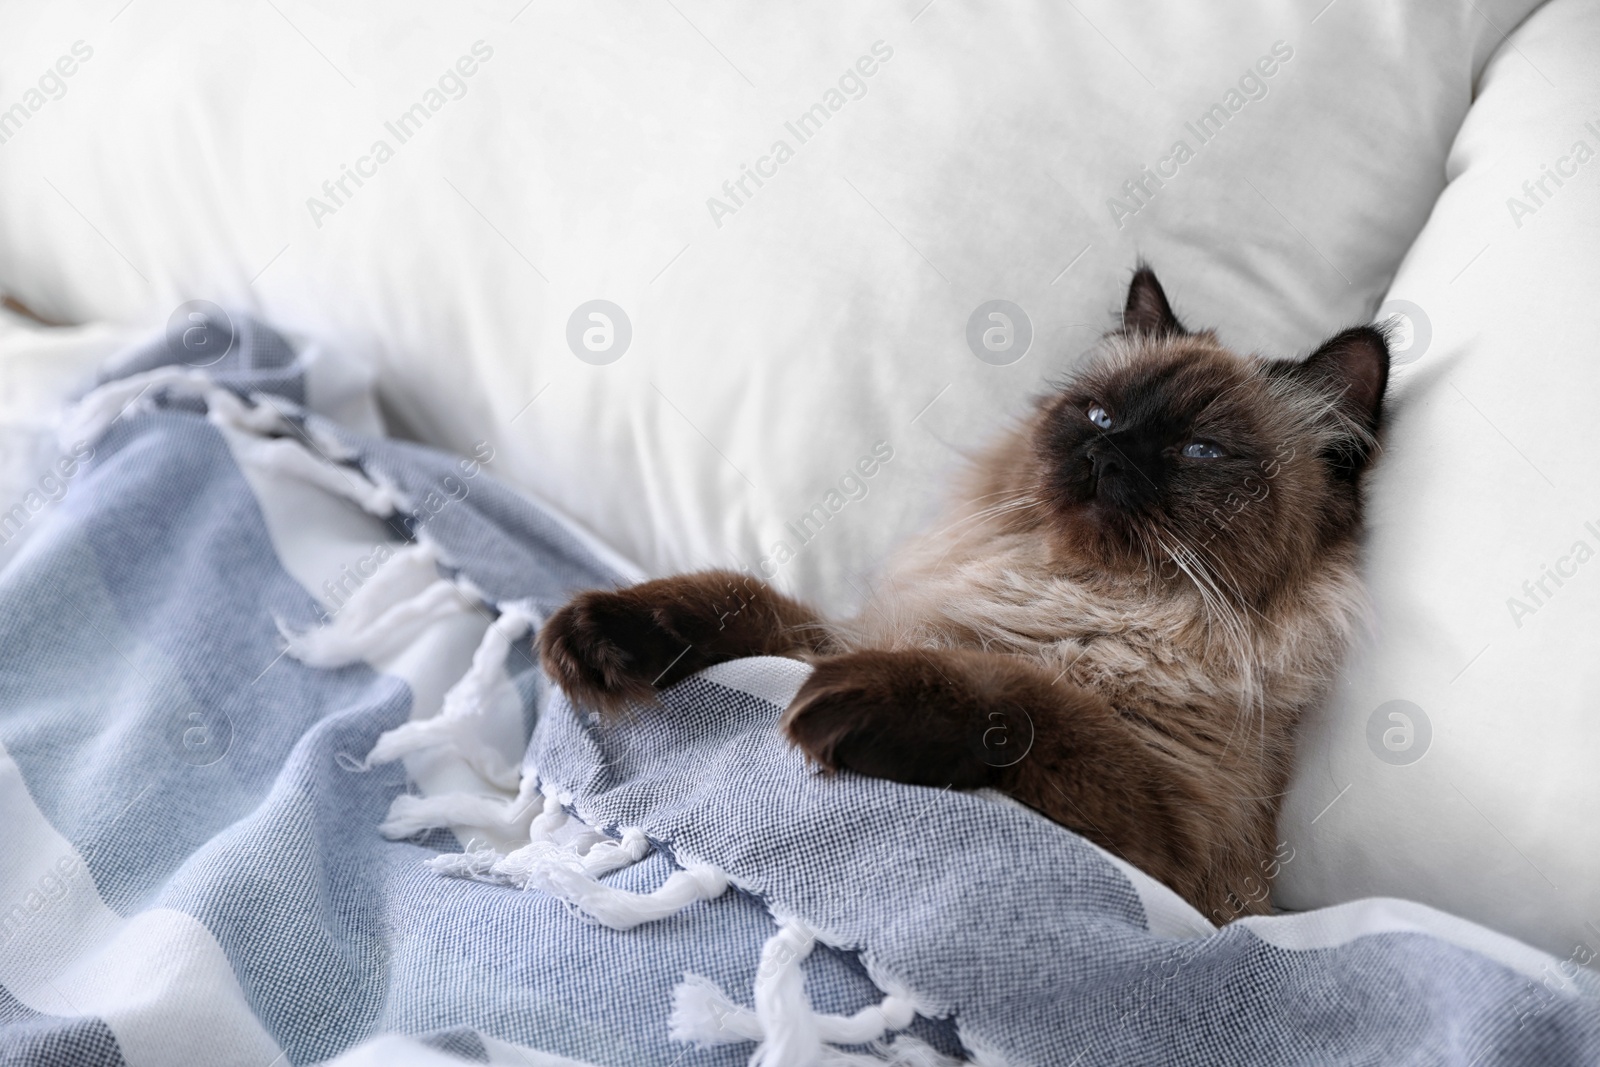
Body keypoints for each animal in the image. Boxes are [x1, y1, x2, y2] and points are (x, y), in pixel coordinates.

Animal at [537, 268, 1388, 927]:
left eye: (1199, 450)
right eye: (1100, 413)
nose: (1105, 451)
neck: (1075, 599)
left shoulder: (1178, 844)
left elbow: (1030, 704)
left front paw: (854, 704)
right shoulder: (839, 634)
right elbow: (739, 600)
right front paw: (600, 634)